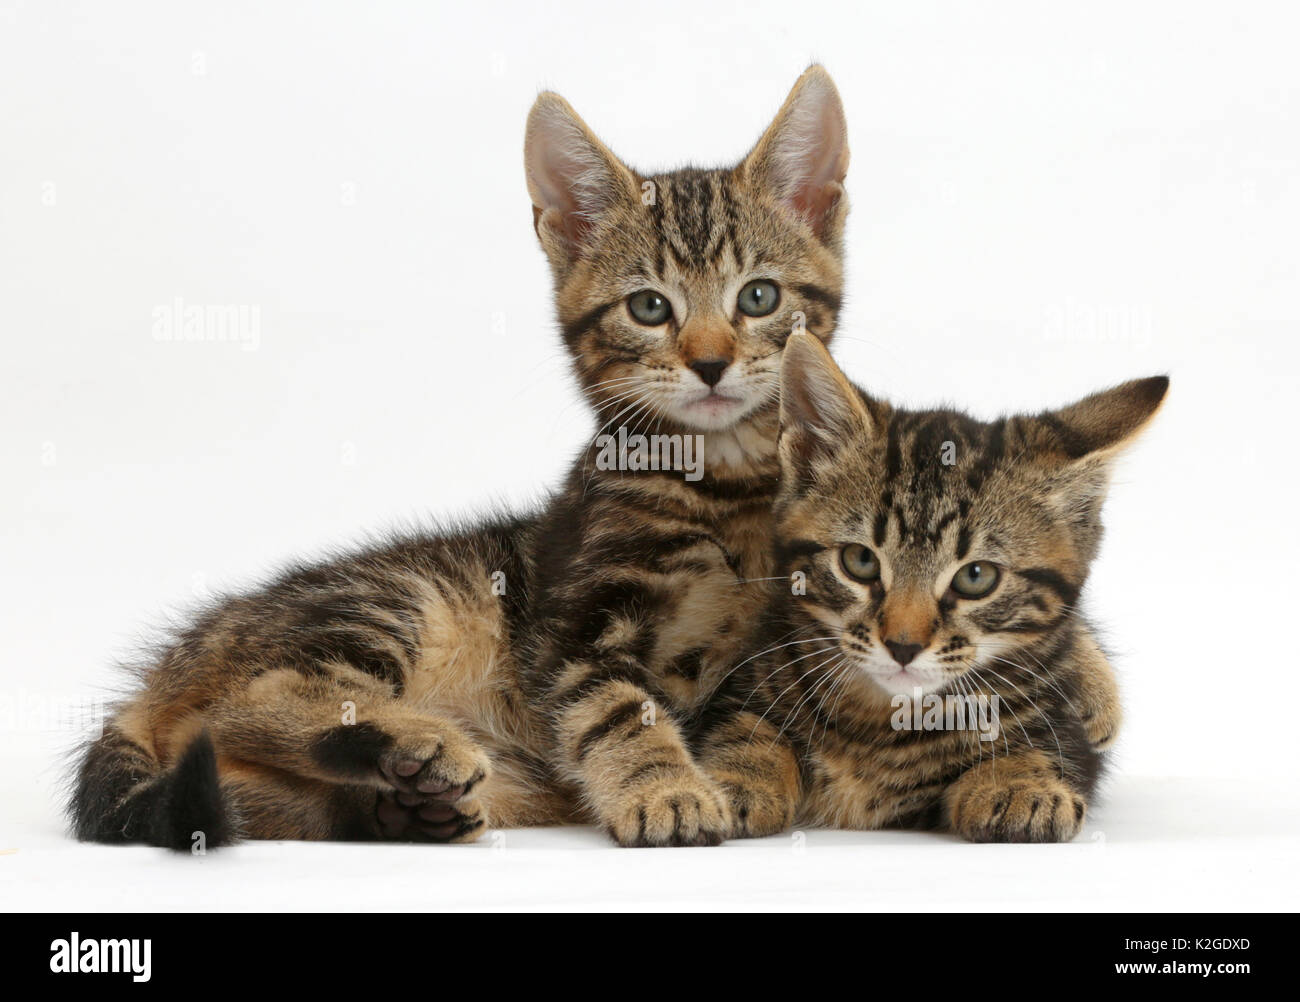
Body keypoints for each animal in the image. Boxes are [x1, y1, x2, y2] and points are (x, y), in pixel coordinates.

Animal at [76, 66, 857, 847]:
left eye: (759, 296)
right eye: (649, 308)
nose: (710, 363)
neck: (722, 490)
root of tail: (170, 668)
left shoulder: (785, 642)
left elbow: (761, 720)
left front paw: (750, 777)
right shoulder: (569, 631)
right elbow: (617, 709)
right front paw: (666, 789)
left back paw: (401, 803)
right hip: (404, 598)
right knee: (244, 705)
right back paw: (415, 744)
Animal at [702, 335, 1170, 836]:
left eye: (976, 577)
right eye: (860, 561)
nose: (903, 646)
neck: (881, 725)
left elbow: (1036, 740)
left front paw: (1020, 783)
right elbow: (747, 728)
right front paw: (733, 778)